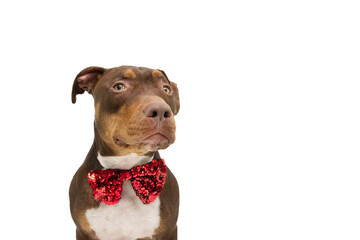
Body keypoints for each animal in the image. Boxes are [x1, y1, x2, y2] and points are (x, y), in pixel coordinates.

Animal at [69, 65, 180, 240]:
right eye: (119, 87)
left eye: (166, 89)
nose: (161, 110)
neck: (126, 170)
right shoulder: (83, 231)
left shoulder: (168, 231)